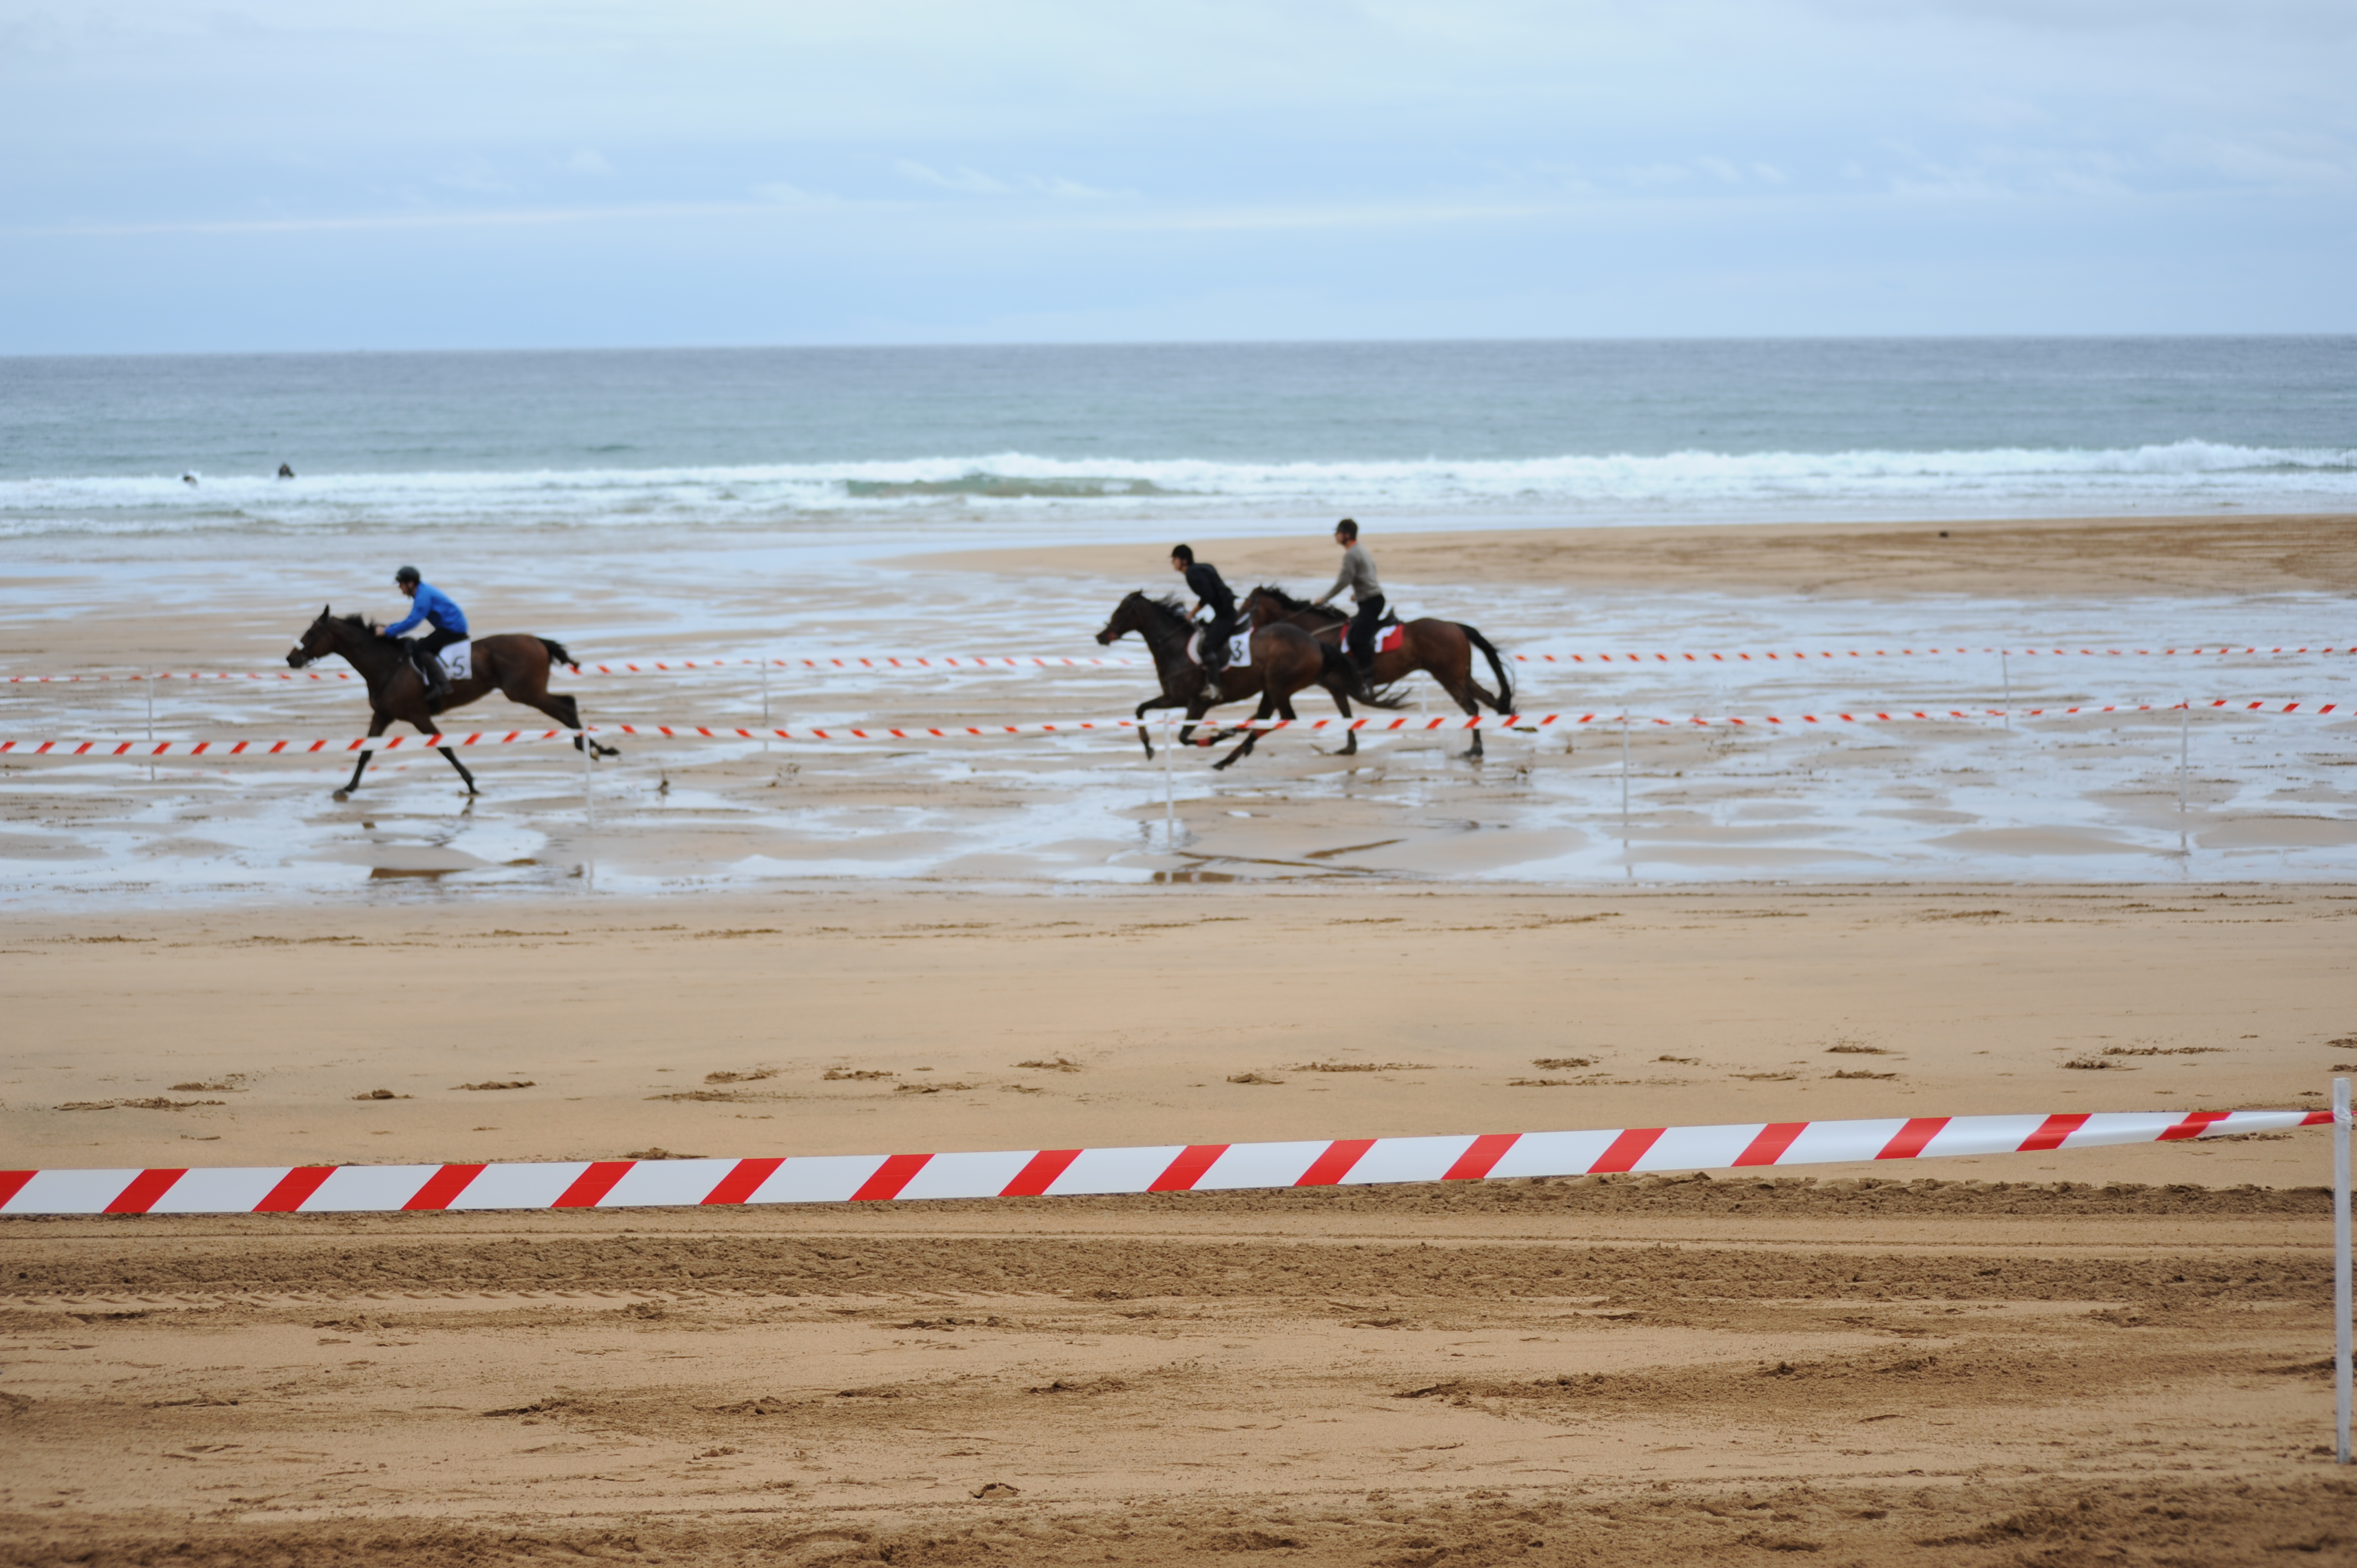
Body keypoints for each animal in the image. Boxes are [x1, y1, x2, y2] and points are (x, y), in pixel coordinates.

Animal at [286, 606, 615, 798]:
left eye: (312, 632)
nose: (292, 658)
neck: (387, 665)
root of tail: (538, 641)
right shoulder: (382, 716)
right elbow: (366, 753)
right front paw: (349, 787)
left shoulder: (419, 717)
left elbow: (445, 748)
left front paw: (470, 783)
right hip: (527, 692)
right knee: (567, 706)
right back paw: (594, 748)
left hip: (525, 692)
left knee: (567, 706)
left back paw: (593, 748)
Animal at [1093, 592, 1385, 770]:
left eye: (1121, 610)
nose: (1101, 636)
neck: (1175, 648)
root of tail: (1316, 643)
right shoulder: (1172, 698)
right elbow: (1140, 709)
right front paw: (1148, 747)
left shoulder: (1198, 704)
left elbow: (1184, 737)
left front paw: (1212, 739)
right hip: (1271, 688)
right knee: (1265, 718)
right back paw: (1231, 751)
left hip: (1279, 685)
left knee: (1285, 718)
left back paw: (1229, 746)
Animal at [1240, 585, 1516, 759]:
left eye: (1245, 608)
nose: (1239, 628)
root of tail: (1455, 627)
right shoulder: (1337, 687)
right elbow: (1346, 715)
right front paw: (1349, 748)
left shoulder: (1330, 684)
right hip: (1461, 676)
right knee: (1489, 699)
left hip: (1450, 678)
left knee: (1472, 708)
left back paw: (1475, 750)